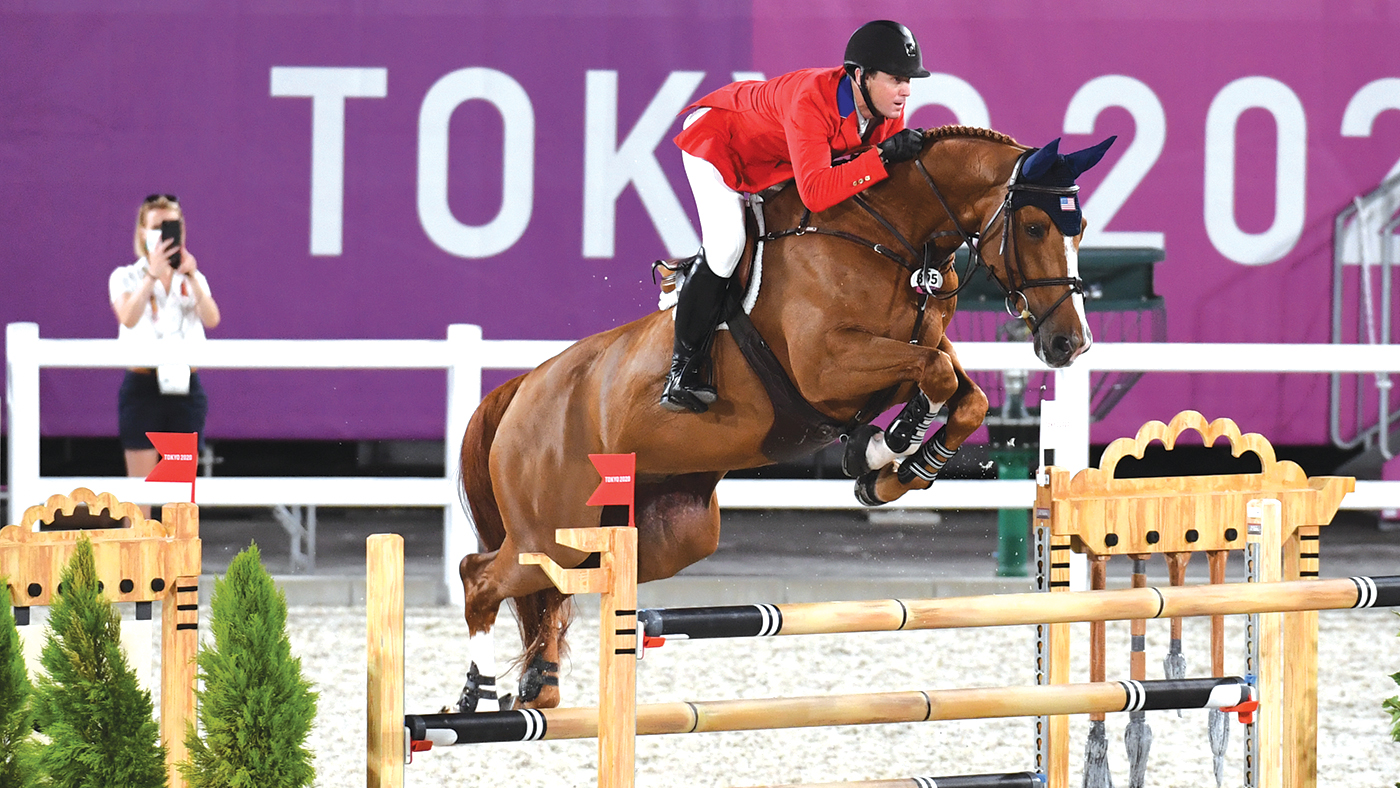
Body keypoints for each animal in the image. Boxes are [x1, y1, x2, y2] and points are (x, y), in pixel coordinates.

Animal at [456, 126, 1115, 709]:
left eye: (1079, 228)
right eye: (1034, 226)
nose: (1070, 343)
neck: (886, 237)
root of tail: (523, 387)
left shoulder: (920, 344)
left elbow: (961, 392)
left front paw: (900, 469)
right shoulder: (827, 367)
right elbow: (936, 377)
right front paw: (887, 447)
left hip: (653, 535)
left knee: (549, 587)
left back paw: (538, 685)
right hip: (551, 529)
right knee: (478, 574)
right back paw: (477, 692)